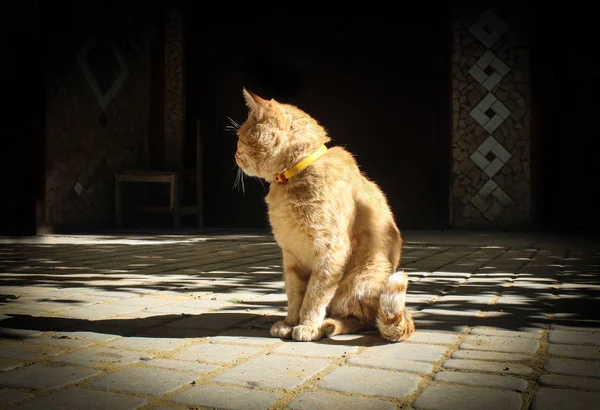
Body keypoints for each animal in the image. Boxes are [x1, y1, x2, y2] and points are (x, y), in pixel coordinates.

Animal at [233, 89, 412, 342]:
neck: (295, 176)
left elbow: (314, 295)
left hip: (359, 281)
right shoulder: (291, 256)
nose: (235, 156)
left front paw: (307, 325)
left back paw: (329, 325)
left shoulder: (330, 252)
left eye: (241, 137)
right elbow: (295, 295)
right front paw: (289, 323)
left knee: (365, 320)